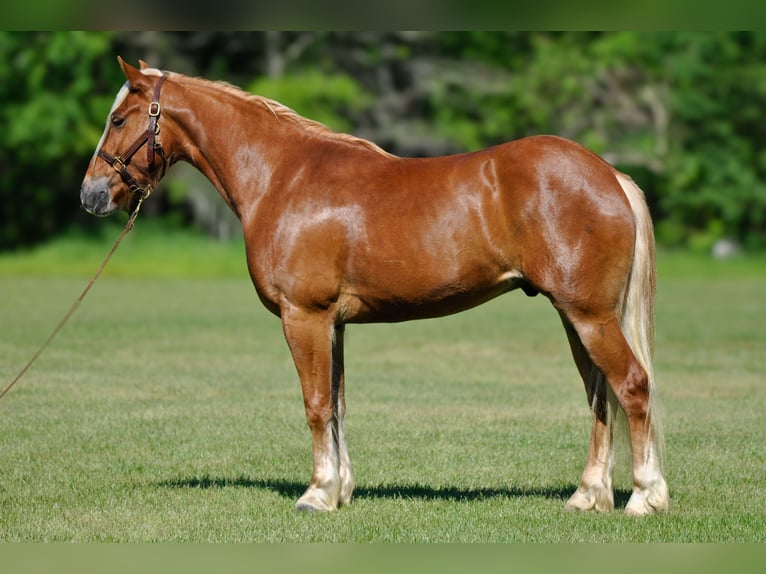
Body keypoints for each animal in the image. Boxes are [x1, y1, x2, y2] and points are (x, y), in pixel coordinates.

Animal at [80, 57, 669, 515]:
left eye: (118, 118)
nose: (91, 195)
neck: (282, 176)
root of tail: (610, 175)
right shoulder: (335, 324)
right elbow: (338, 404)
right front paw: (339, 490)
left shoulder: (305, 316)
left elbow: (316, 403)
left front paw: (316, 495)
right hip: (576, 317)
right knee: (600, 396)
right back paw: (587, 496)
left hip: (589, 315)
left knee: (632, 386)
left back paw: (644, 497)